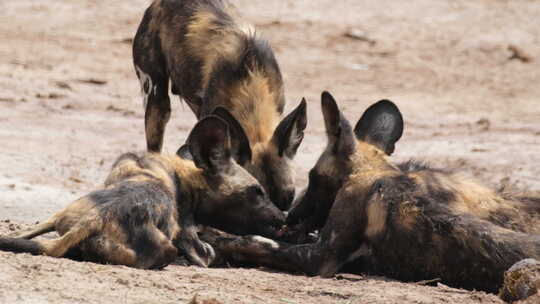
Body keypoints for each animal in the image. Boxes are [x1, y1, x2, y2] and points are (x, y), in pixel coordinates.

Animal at [0, 116, 284, 268]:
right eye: (257, 191)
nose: (282, 217)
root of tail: (96, 219)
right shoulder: (195, 245)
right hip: (165, 251)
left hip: (58, 216)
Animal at [197, 91, 540, 294]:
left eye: (313, 177)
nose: (290, 216)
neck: (374, 173)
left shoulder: (320, 257)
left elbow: (255, 241)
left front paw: (217, 240)